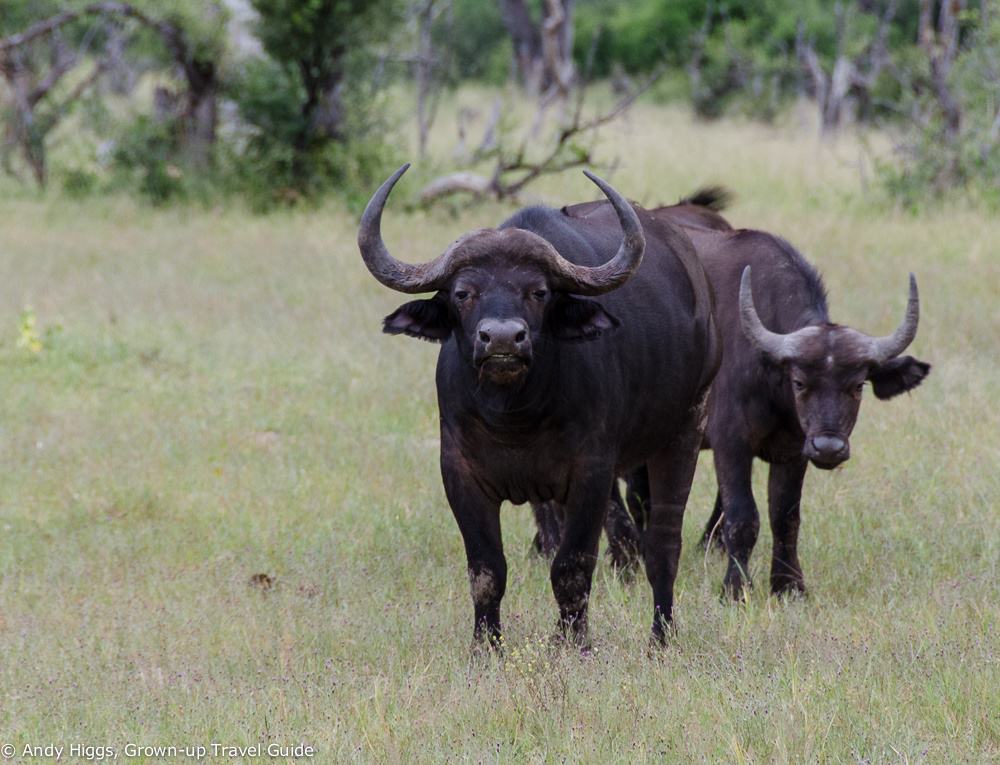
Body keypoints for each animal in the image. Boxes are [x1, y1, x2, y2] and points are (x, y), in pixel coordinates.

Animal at [358, 165, 720, 646]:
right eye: (462, 292)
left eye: (539, 292)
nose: (503, 339)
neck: (515, 417)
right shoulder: (459, 475)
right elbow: (487, 571)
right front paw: (486, 647)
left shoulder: (592, 473)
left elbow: (572, 566)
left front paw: (572, 644)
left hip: (685, 429)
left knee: (663, 543)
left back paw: (660, 638)